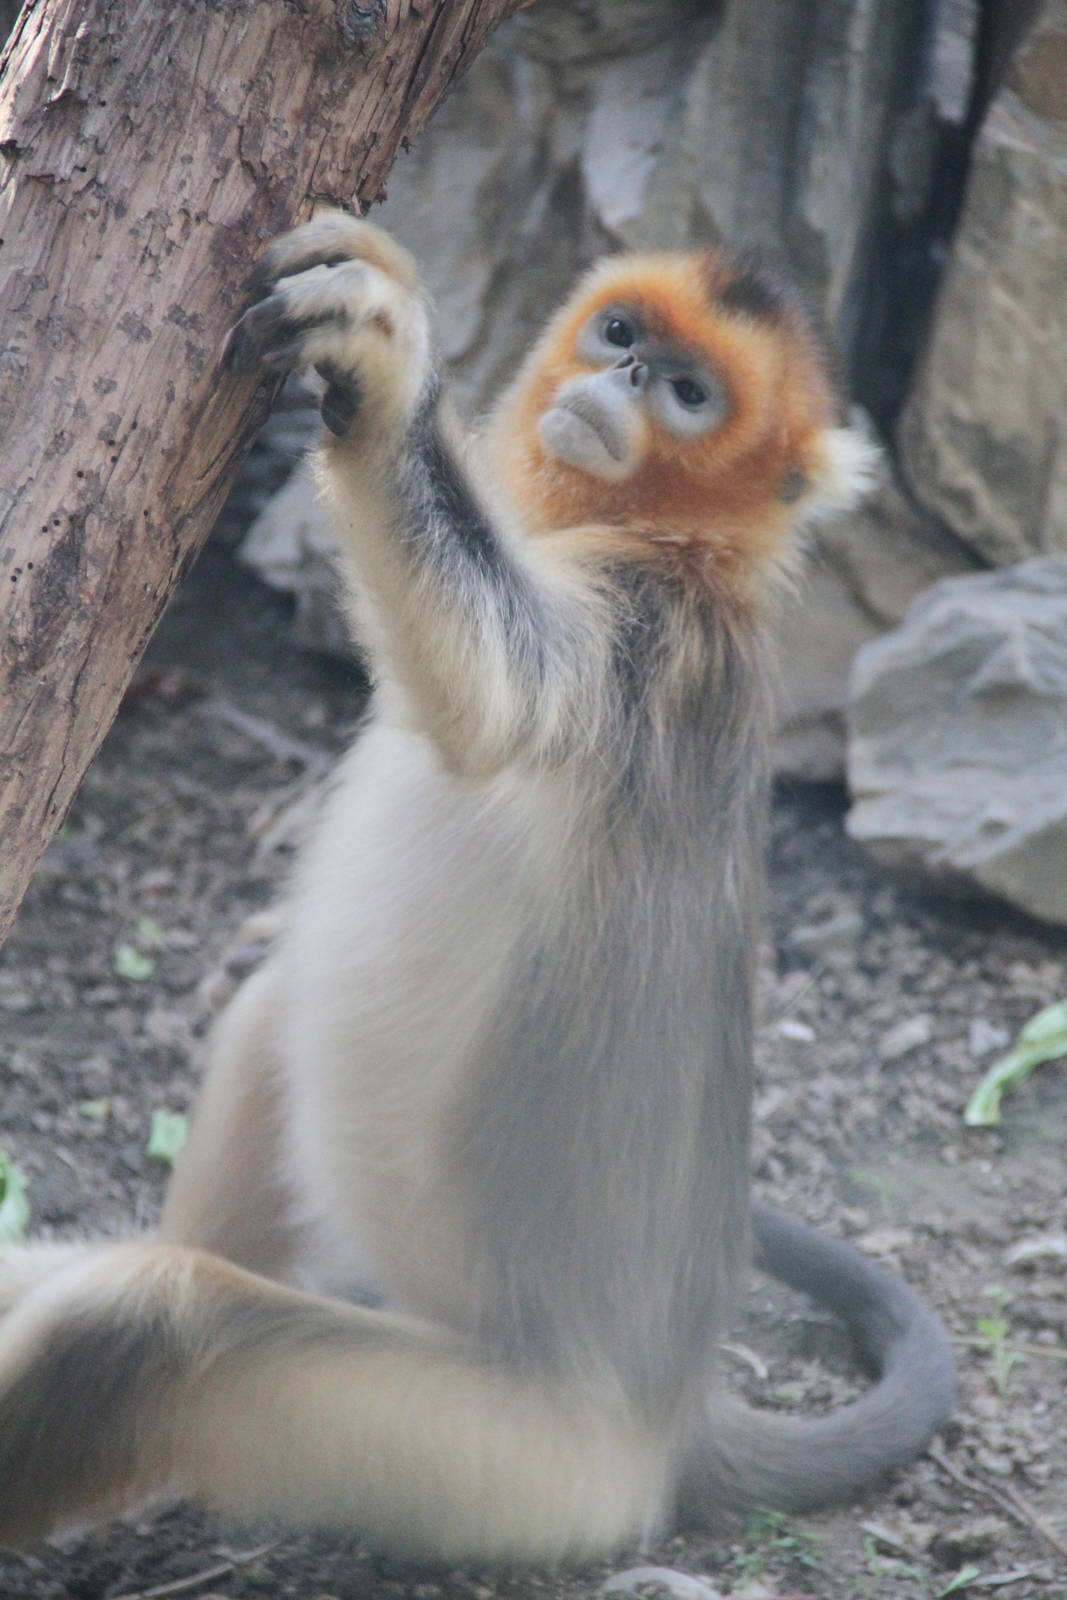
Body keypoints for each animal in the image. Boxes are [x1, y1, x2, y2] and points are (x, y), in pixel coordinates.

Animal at [0, 215, 955, 1560]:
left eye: (689, 394)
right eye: (621, 333)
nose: (622, 378)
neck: (664, 538)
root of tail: (672, 1421)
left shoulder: (646, 633)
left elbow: (495, 695)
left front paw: (388, 373)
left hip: (514, 1464)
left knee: (151, 1321)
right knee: (266, 1021)